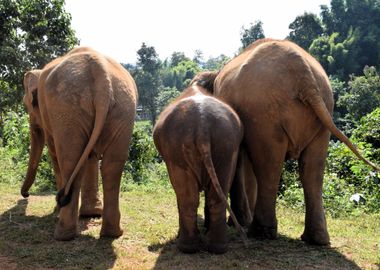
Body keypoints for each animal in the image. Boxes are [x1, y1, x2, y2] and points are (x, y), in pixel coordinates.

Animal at [22, 47, 138, 240]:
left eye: (28, 105)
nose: (26, 194)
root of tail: (101, 73)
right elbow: (90, 155)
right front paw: (91, 214)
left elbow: (54, 152)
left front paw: (58, 210)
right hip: (124, 108)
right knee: (112, 165)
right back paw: (112, 233)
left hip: (67, 109)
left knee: (69, 160)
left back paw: (63, 234)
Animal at [153, 77, 248, 254]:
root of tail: (202, 127)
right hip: (224, 146)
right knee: (209, 195)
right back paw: (213, 247)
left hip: (185, 149)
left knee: (188, 196)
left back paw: (189, 247)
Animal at [197, 39, 378, 246]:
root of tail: (304, 76)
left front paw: (238, 223)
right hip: (320, 112)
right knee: (312, 169)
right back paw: (316, 239)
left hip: (263, 114)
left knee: (269, 164)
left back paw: (260, 232)